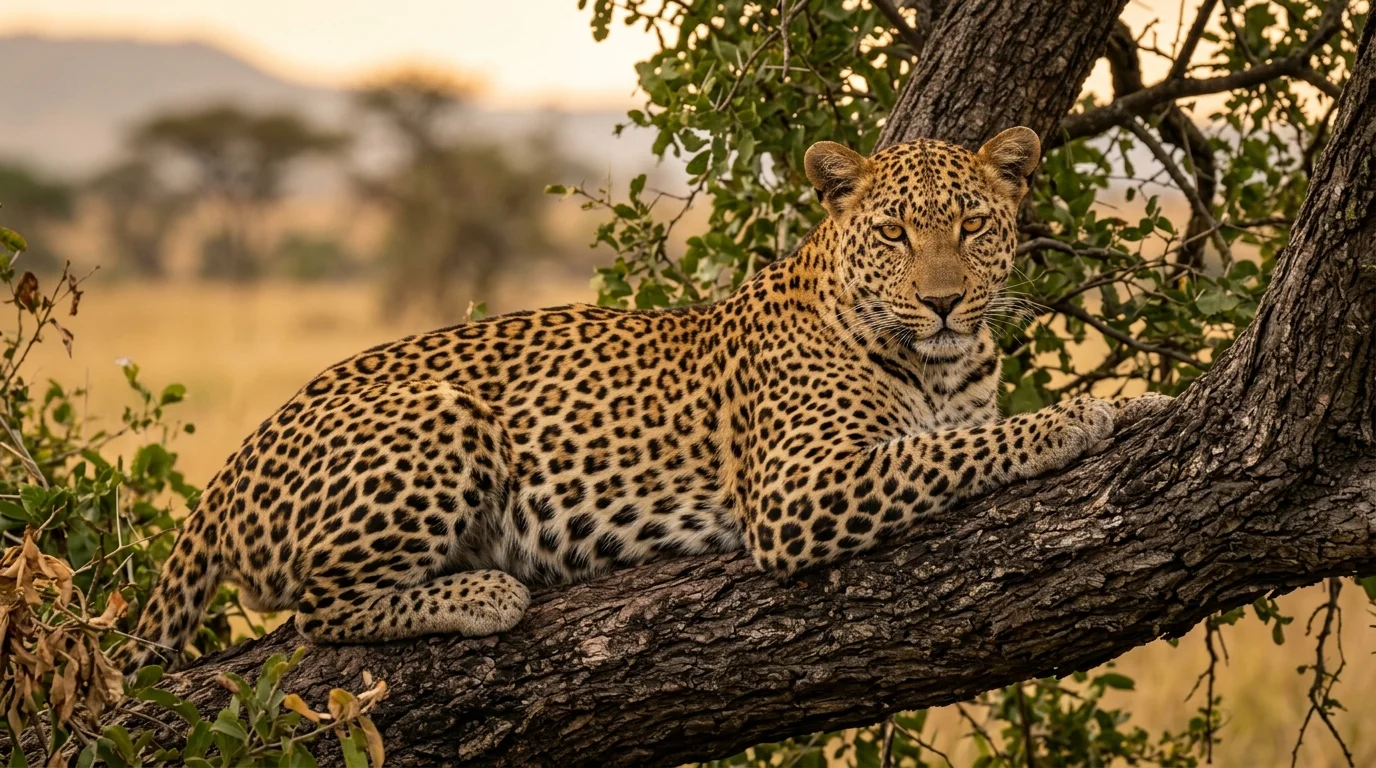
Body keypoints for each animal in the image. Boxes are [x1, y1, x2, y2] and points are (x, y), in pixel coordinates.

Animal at [119, 126, 1171, 671]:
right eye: (894, 234)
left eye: (973, 226)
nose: (946, 299)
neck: (943, 363)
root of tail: (231, 467)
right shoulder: (796, 490)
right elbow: (948, 451)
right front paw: (1083, 415)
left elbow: (958, 437)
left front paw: (1137, 403)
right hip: (445, 411)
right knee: (318, 611)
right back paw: (486, 591)